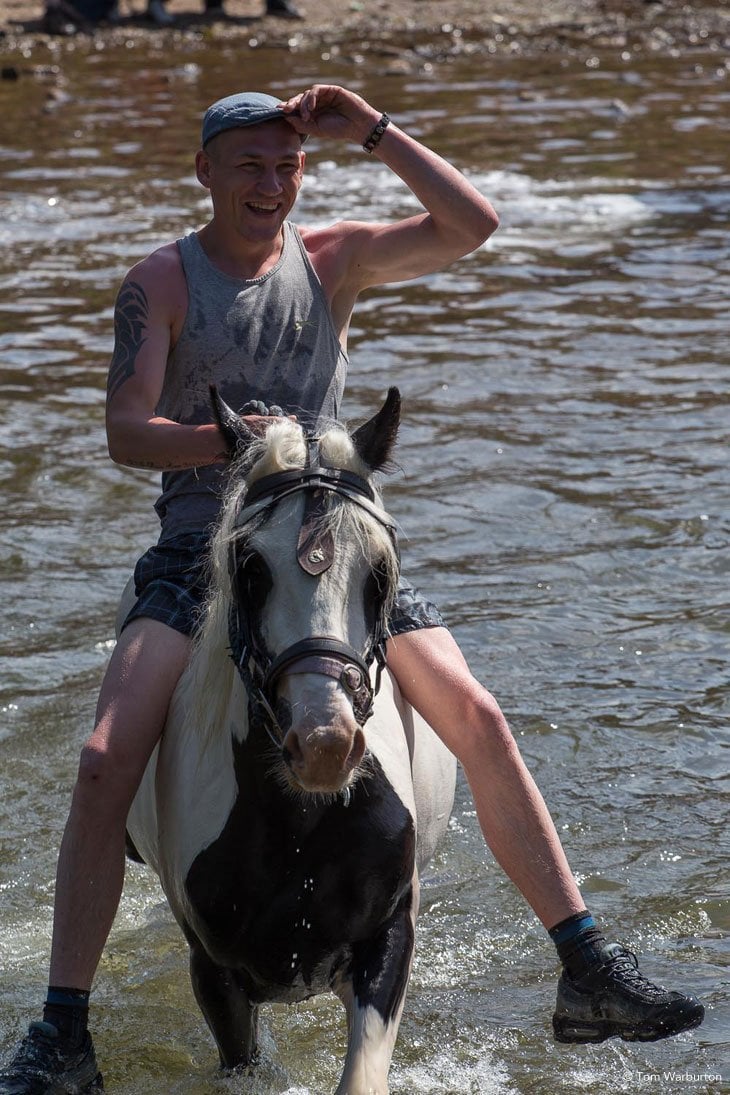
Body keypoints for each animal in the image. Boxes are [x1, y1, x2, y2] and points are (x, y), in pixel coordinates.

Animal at [123, 389, 459, 1090]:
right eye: (250, 568)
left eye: (379, 573)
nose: (324, 742)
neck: (301, 823)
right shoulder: (215, 976)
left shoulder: (387, 940)